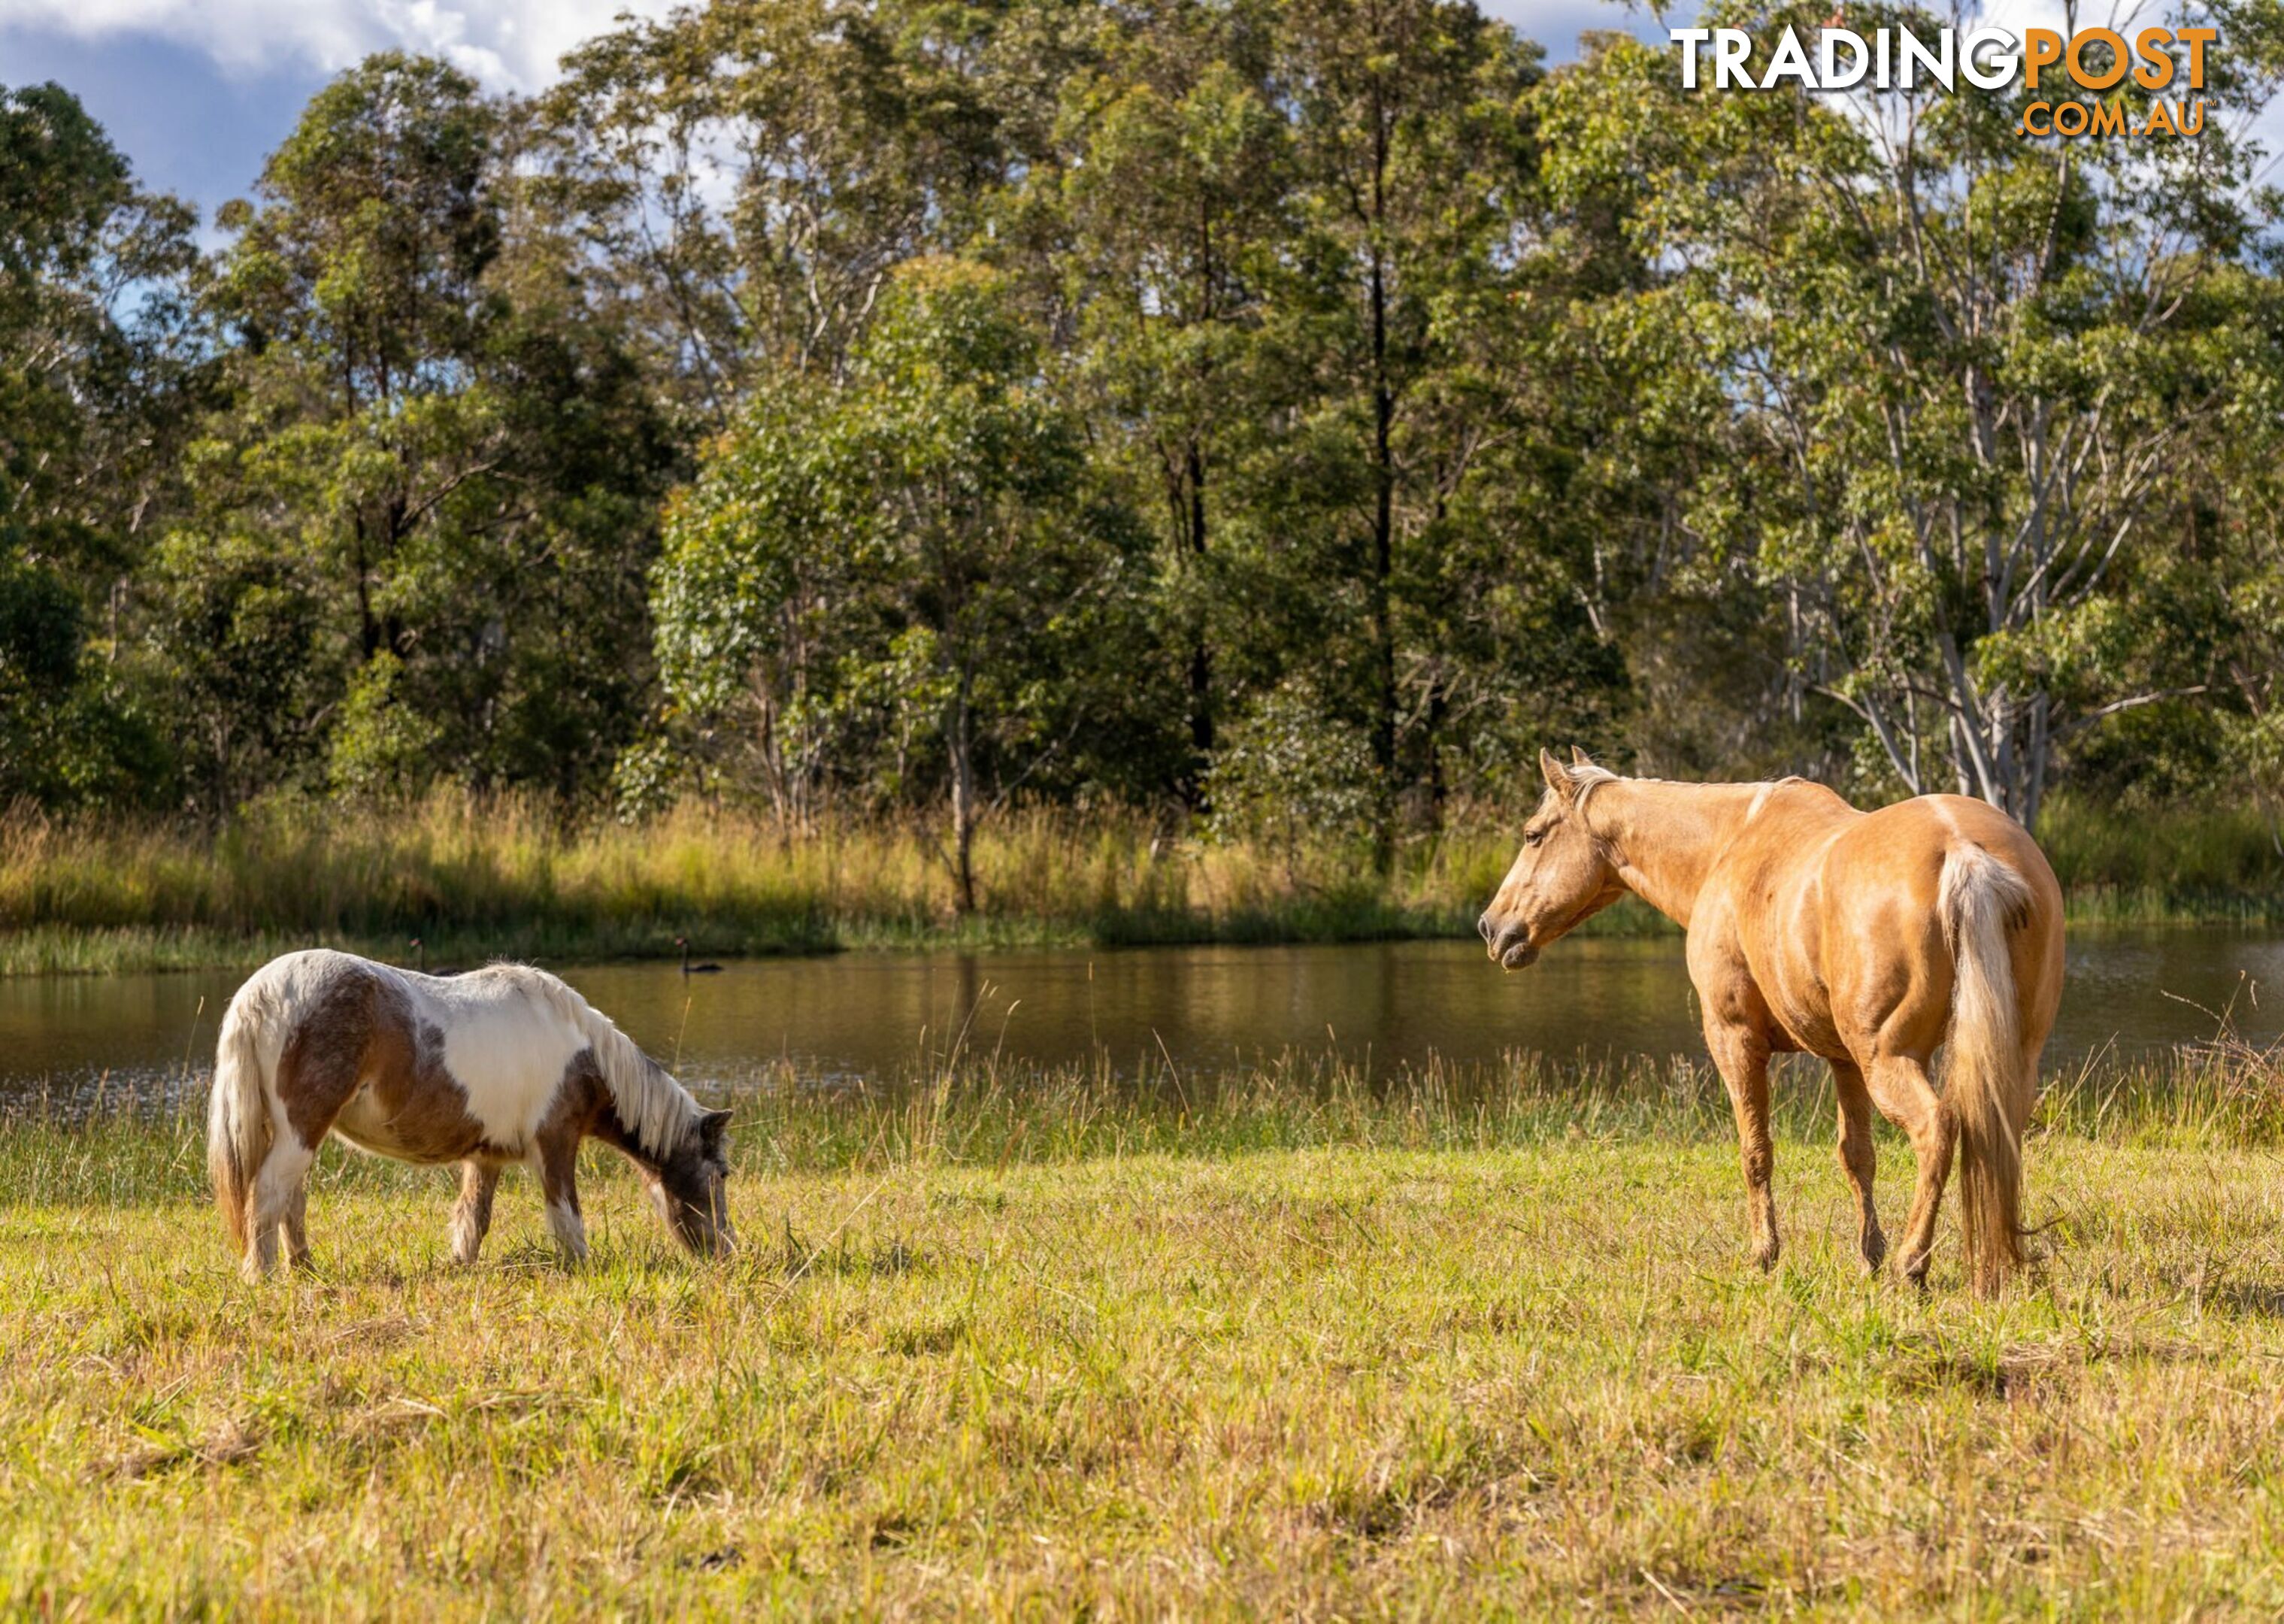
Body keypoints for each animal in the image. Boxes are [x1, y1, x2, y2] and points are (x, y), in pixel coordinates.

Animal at [208, 954, 731, 1279]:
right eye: (721, 1175)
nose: (727, 1253)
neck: (583, 1052)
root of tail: (262, 991)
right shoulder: (556, 1144)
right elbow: (567, 1217)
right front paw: (583, 1268)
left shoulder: (487, 1157)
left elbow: (473, 1219)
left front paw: (461, 1268)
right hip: (300, 1132)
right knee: (269, 1196)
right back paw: (265, 1277)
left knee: (290, 1203)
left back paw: (306, 1271)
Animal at [1480, 753, 2073, 1297]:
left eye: (1533, 835)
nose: (1492, 926)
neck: (1728, 845)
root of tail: (1963, 851)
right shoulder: (1842, 1059)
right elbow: (1857, 1157)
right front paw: (1868, 1255)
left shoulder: (1734, 1039)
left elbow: (1755, 1152)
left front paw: (1764, 1255)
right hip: (2006, 1058)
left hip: (1889, 1060)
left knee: (1937, 1129)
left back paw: (1913, 1265)